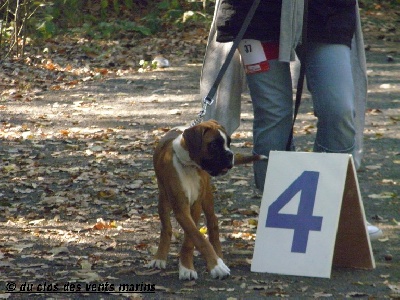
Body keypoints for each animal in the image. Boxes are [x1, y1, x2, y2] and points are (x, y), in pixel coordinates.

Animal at [147, 120, 266, 280]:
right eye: (214, 145)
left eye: (229, 142)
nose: (230, 154)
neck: (189, 165)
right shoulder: (181, 209)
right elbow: (198, 237)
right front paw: (212, 266)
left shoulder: (195, 205)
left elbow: (191, 239)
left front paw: (190, 266)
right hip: (163, 199)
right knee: (166, 228)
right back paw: (159, 257)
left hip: (207, 197)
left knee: (213, 222)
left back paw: (219, 256)